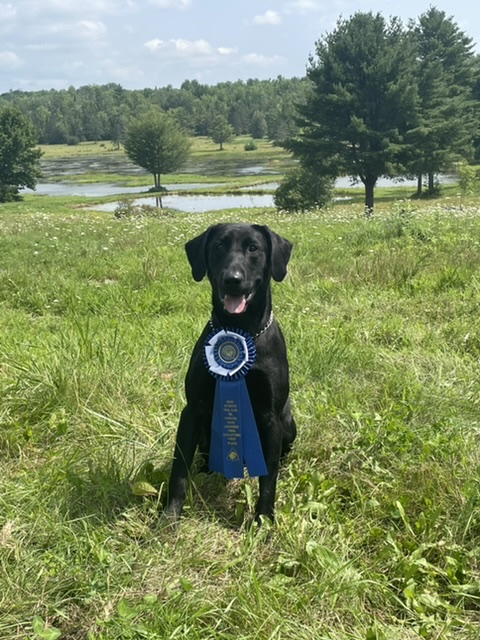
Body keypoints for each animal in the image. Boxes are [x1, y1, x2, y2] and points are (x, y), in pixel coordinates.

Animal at [163, 222, 294, 524]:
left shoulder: (271, 416)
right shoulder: (192, 410)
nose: (232, 279)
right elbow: (179, 469)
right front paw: (171, 514)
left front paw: (264, 519)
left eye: (254, 248)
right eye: (219, 246)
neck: (242, 329)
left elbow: (268, 478)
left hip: (288, 422)